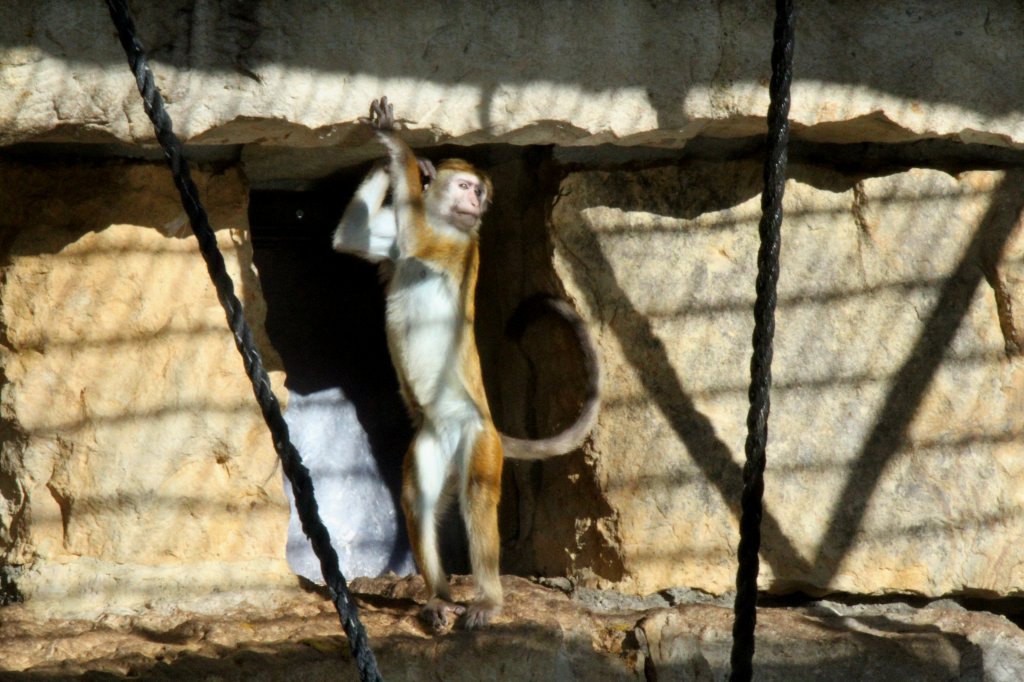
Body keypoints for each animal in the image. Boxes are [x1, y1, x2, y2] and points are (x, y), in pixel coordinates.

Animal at [327, 95, 598, 626]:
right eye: (468, 187)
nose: (474, 201)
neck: (444, 220)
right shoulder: (398, 236)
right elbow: (350, 239)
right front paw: (399, 162)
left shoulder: (460, 243)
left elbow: (415, 241)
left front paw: (397, 147)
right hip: (432, 443)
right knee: (419, 501)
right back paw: (439, 595)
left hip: (478, 439)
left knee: (475, 497)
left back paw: (488, 597)